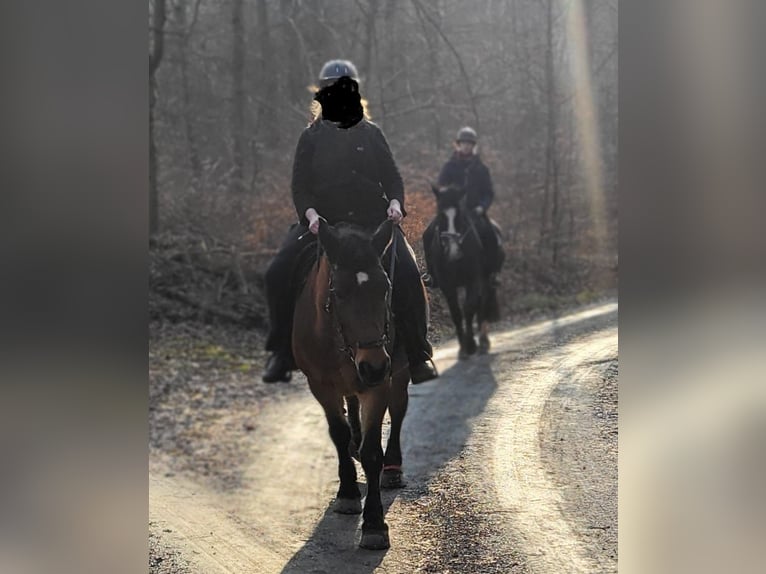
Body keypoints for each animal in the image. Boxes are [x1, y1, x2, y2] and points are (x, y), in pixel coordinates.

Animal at [291, 218, 410, 550]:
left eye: (385, 288)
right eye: (340, 293)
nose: (374, 365)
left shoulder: (378, 387)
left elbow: (372, 452)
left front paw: (374, 525)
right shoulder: (321, 386)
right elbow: (339, 434)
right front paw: (347, 493)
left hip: (397, 375)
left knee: (398, 413)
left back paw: (393, 469)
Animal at [426, 184, 498, 359]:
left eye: (460, 216)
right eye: (440, 214)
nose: (452, 250)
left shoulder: (473, 280)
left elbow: (469, 309)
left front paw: (471, 345)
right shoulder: (447, 285)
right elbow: (456, 313)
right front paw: (463, 348)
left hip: (485, 280)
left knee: (482, 305)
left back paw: (483, 342)